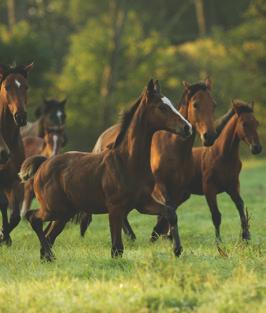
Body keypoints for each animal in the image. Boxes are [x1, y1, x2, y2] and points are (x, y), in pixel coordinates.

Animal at [19, 79, 192, 260]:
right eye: (162, 107)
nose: (187, 127)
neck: (127, 162)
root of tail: (43, 164)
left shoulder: (143, 202)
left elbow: (170, 212)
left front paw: (177, 250)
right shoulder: (115, 208)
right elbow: (117, 248)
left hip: (64, 213)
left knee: (48, 234)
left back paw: (48, 257)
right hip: (53, 208)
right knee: (33, 218)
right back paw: (49, 255)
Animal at [78, 77, 218, 241]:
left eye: (214, 105)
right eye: (195, 104)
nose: (210, 136)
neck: (173, 149)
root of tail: (101, 139)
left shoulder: (181, 192)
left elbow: (169, 211)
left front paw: (165, 235)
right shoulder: (159, 188)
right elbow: (166, 210)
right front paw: (158, 235)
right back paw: (131, 236)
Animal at [189, 100, 262, 241]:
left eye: (256, 123)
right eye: (244, 124)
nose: (257, 148)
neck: (222, 155)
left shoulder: (233, 186)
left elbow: (240, 205)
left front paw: (246, 236)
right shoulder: (209, 189)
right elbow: (216, 215)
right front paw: (219, 242)